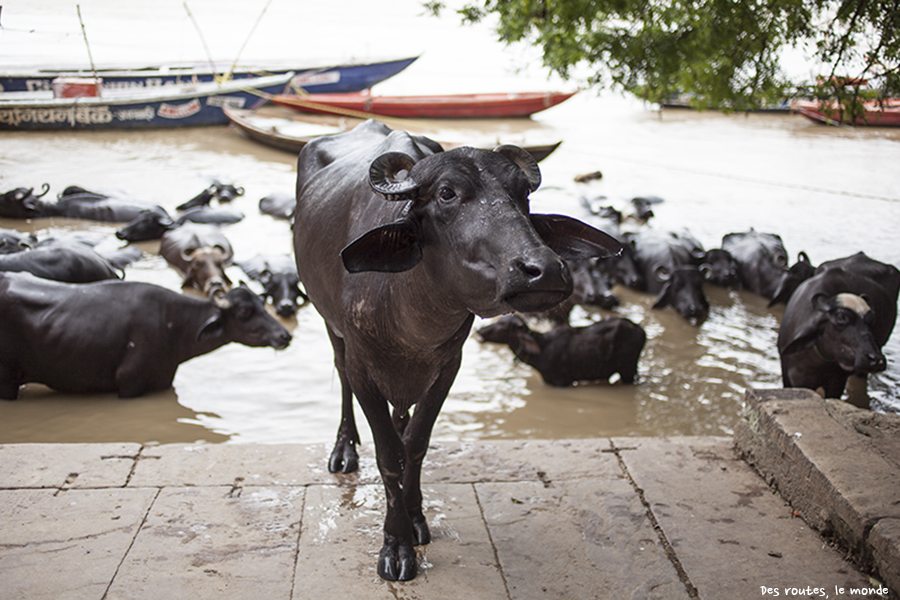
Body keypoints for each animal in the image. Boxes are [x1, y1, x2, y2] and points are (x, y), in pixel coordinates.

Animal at [0, 274, 290, 400]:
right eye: (244, 312)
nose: (284, 335)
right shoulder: (129, 382)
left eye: (262, 305)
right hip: (7, 380)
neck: (171, 324)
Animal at [292, 119, 624, 580]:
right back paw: (344, 449)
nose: (544, 270)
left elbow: (415, 445)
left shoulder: (448, 365)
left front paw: (415, 519)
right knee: (340, 374)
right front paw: (395, 545)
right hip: (330, 326)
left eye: (522, 195)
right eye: (447, 193)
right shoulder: (363, 365)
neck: (411, 313)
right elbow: (389, 454)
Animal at [474, 314, 644, 384]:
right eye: (498, 321)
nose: (480, 331)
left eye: (503, 326)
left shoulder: (560, 381)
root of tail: (641, 331)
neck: (542, 351)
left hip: (628, 370)